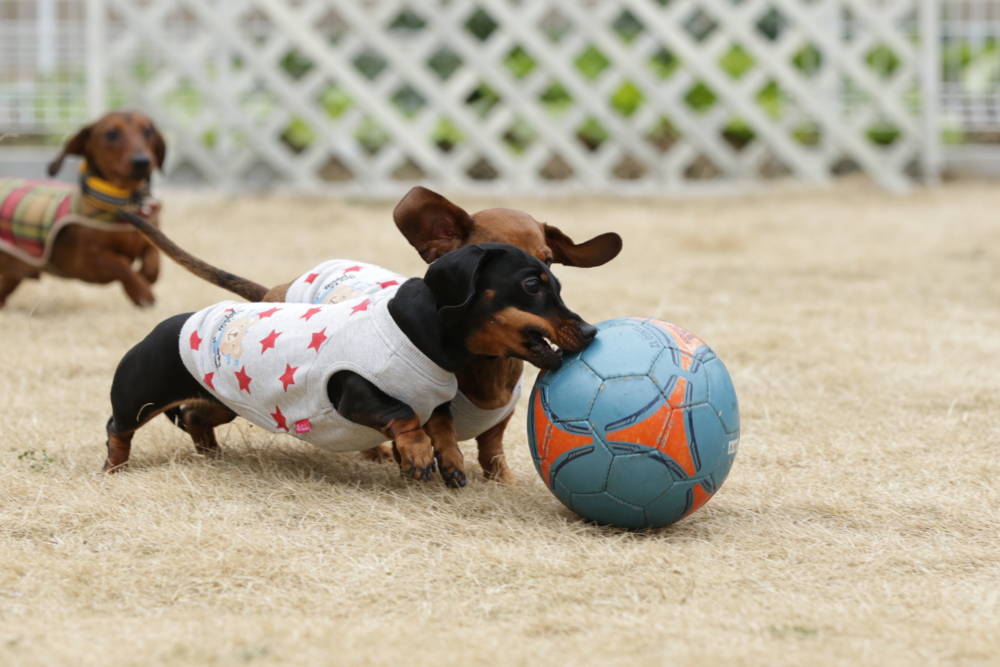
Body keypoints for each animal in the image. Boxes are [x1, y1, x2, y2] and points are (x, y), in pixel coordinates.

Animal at [0, 110, 166, 308]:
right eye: (112, 133)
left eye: (148, 131)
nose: (142, 162)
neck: (125, 203)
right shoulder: (88, 258)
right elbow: (121, 264)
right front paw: (141, 291)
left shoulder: (152, 239)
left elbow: (153, 266)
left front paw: (144, 280)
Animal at [121, 188, 620, 486]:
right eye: (529, 281)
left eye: (550, 262)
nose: (588, 330)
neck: (483, 371)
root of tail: (272, 290)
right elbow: (415, 428)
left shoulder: (497, 425)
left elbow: (491, 453)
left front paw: (500, 482)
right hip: (239, 395)